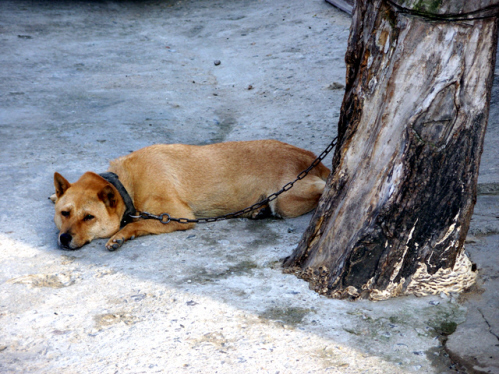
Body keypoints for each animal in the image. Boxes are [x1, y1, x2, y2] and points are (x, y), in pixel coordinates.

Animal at [51, 140, 332, 251]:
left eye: (89, 218)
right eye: (64, 213)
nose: (64, 239)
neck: (127, 184)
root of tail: (312, 159)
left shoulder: (177, 215)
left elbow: (138, 223)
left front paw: (120, 235)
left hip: (286, 199)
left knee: (322, 188)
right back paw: (258, 209)